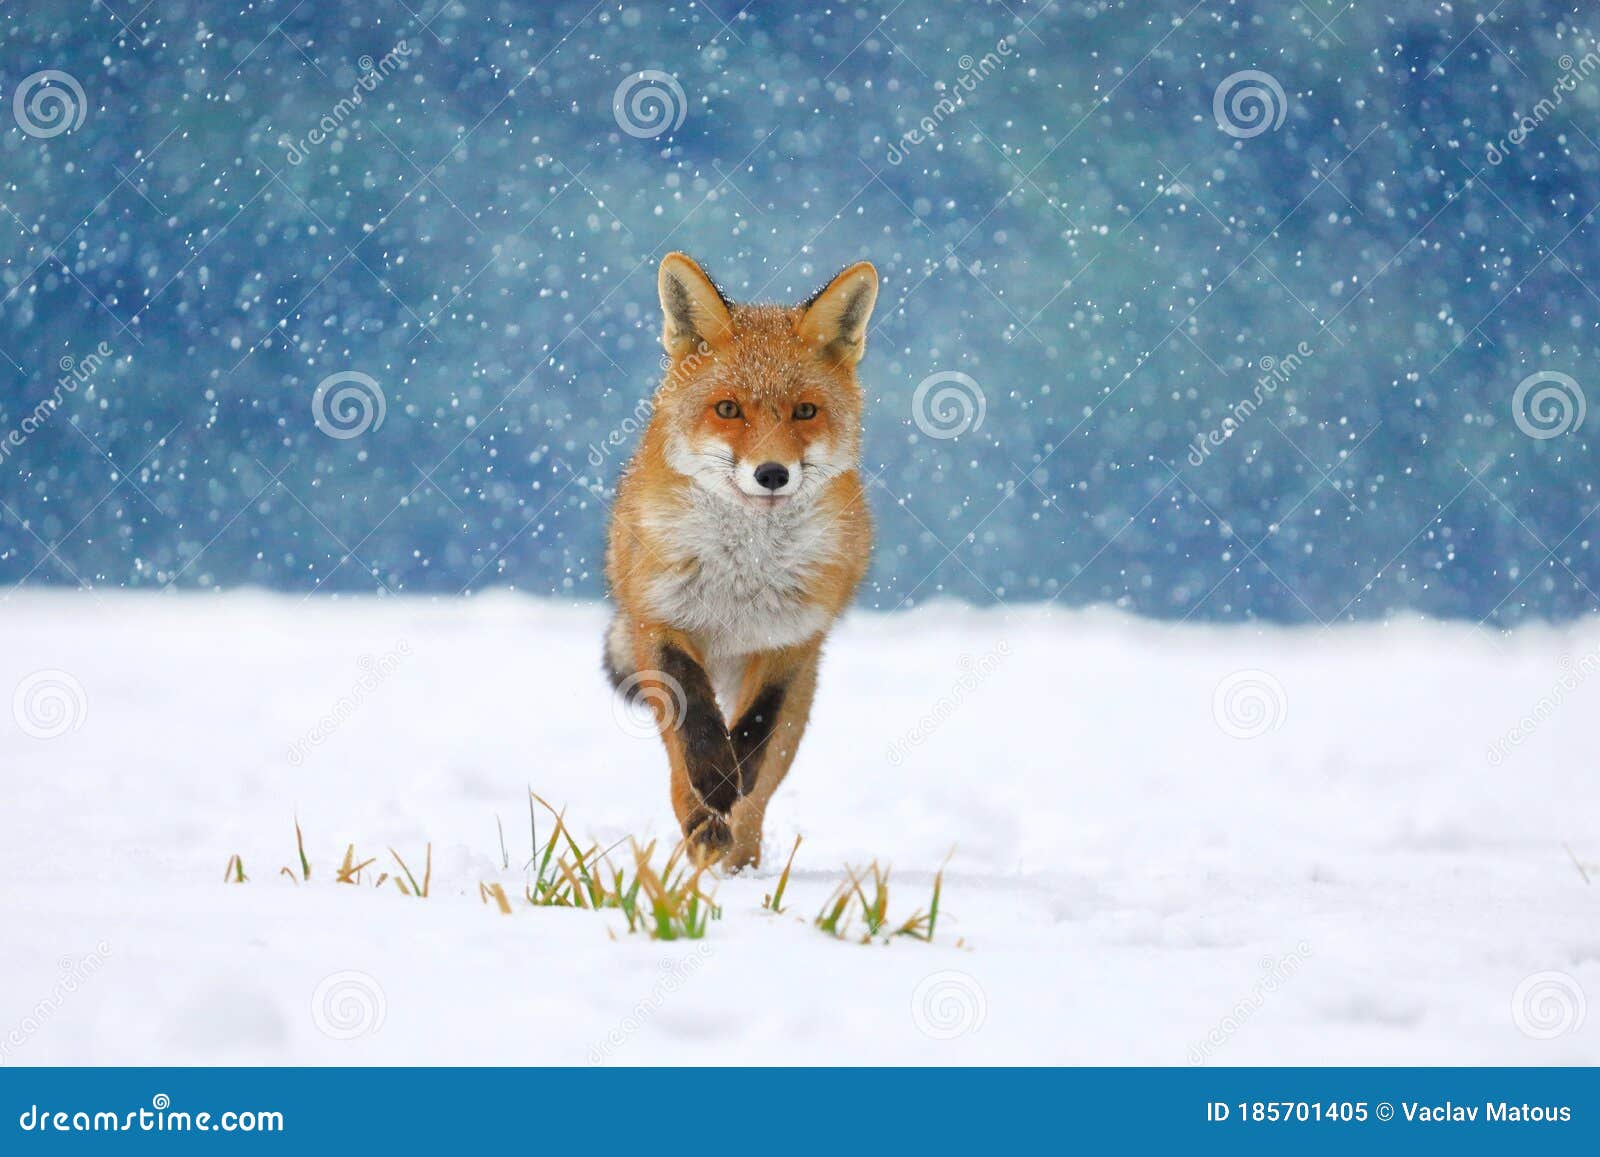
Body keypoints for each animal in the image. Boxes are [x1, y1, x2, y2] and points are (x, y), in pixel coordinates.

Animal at [601, 251, 883, 870]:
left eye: (805, 411)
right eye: (728, 409)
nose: (772, 473)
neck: (742, 575)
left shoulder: (792, 639)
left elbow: (756, 729)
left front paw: (735, 781)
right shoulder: (660, 618)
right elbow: (697, 726)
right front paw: (713, 782)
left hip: (803, 697)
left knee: (762, 790)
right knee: (678, 765)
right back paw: (703, 829)